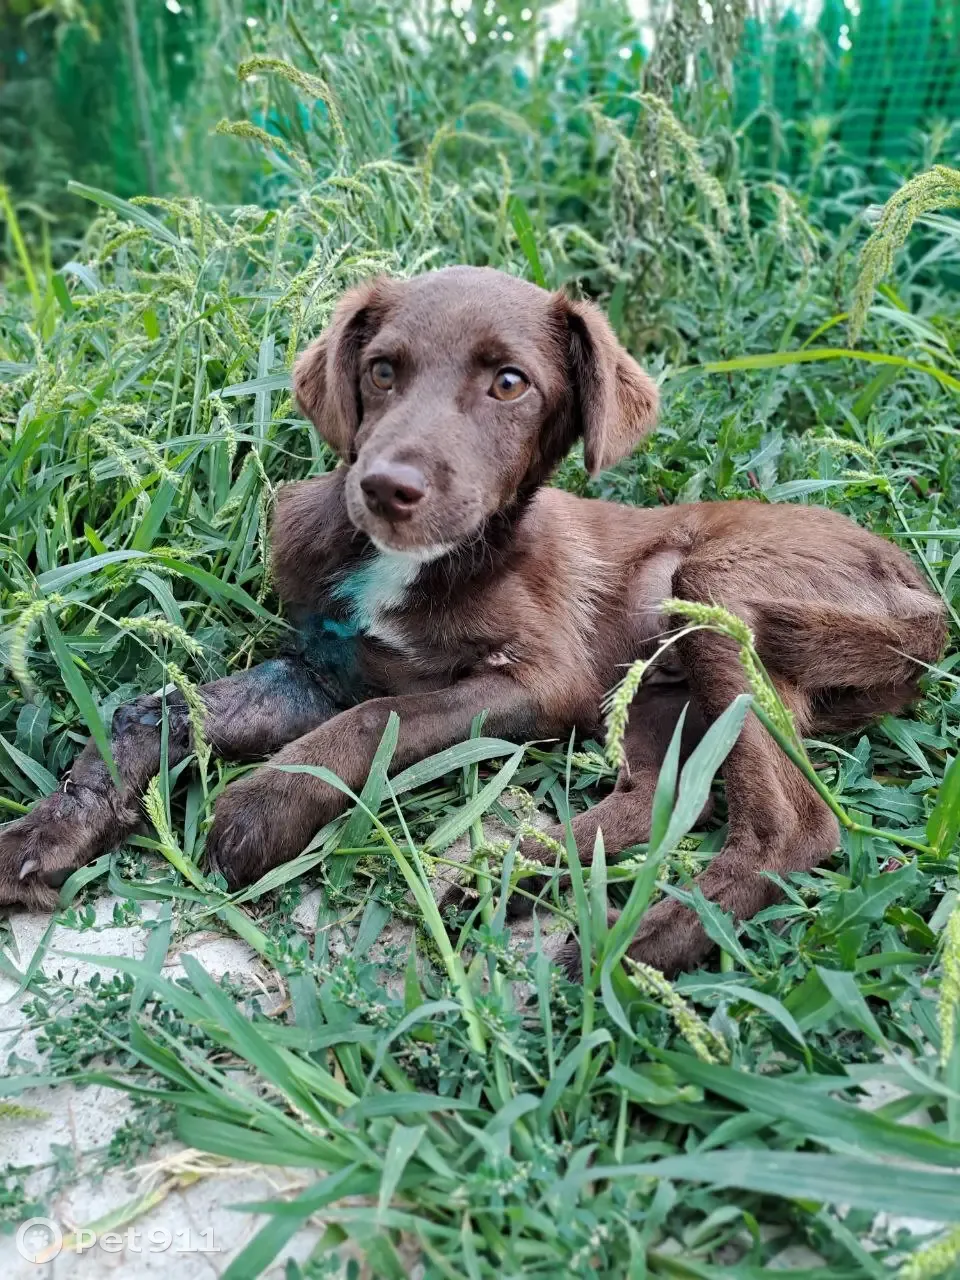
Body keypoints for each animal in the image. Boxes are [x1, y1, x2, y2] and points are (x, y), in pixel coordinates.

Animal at [0, 267, 947, 967]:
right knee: (667, 792)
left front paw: (264, 803)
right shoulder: (321, 666)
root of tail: (924, 594)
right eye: (382, 369)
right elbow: (154, 712)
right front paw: (45, 831)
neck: (414, 565)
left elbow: (386, 716)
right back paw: (515, 872)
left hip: (709, 589)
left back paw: (641, 940)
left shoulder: (541, 680)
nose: (386, 487)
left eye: (509, 384)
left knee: (795, 822)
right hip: (656, 697)